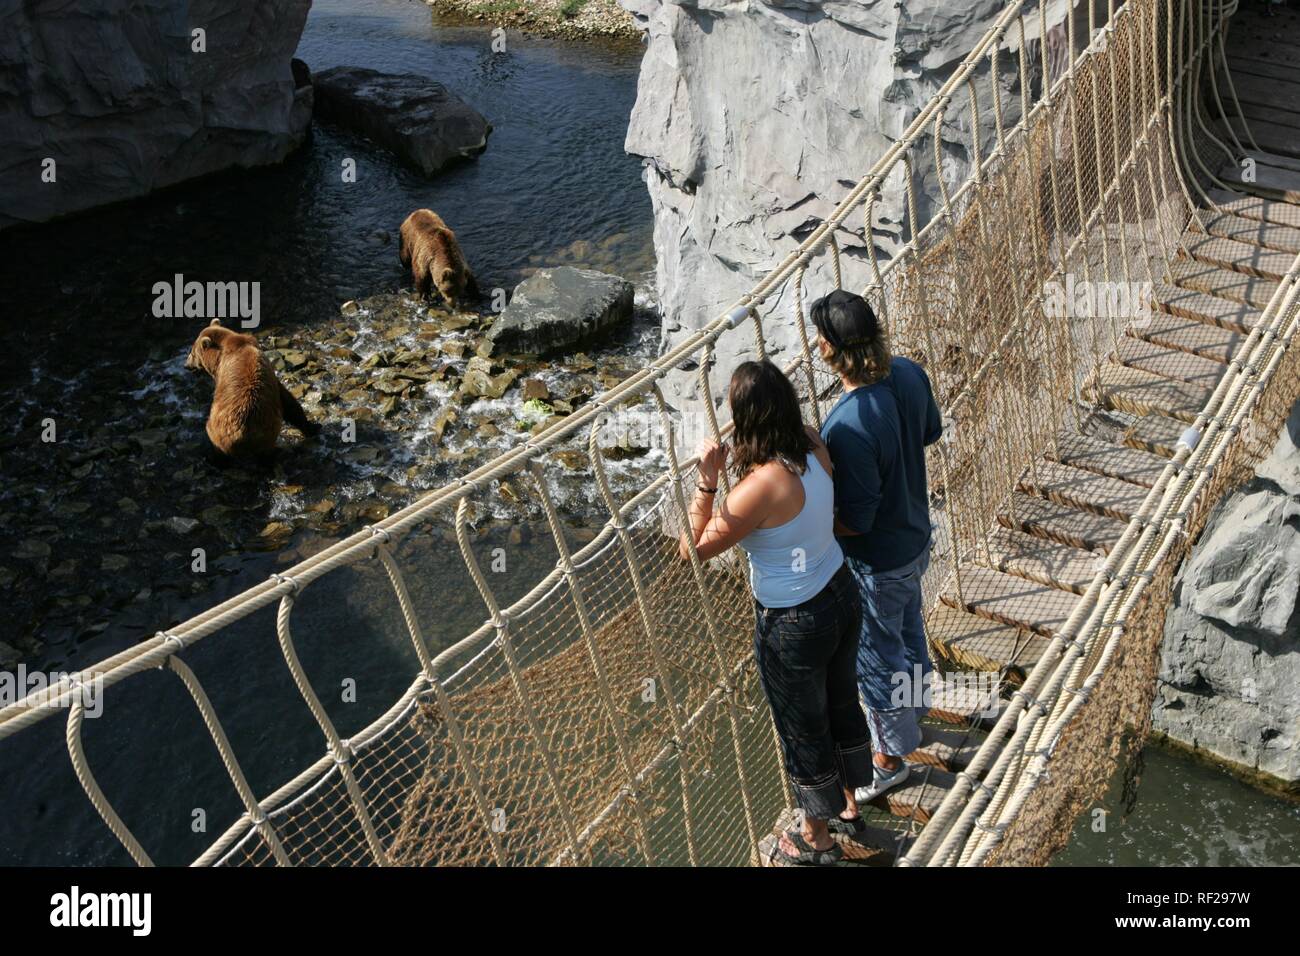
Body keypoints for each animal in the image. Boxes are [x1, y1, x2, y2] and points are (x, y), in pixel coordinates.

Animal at [184, 319, 320, 461]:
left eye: (192, 353)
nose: (186, 365)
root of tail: (242, 434)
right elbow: (289, 403)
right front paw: (311, 427)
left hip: (219, 431)